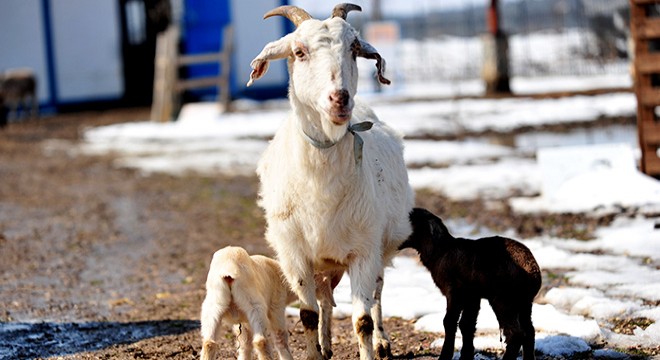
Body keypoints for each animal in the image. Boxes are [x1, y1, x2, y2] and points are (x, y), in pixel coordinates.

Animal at [248, 3, 412, 360]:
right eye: (298, 52)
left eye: (353, 48)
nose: (340, 98)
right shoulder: (295, 254)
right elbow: (308, 314)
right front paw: (313, 352)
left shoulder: (364, 251)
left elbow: (362, 320)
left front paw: (369, 347)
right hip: (323, 262)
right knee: (324, 301)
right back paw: (324, 345)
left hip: (378, 246)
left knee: (377, 295)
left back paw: (382, 342)